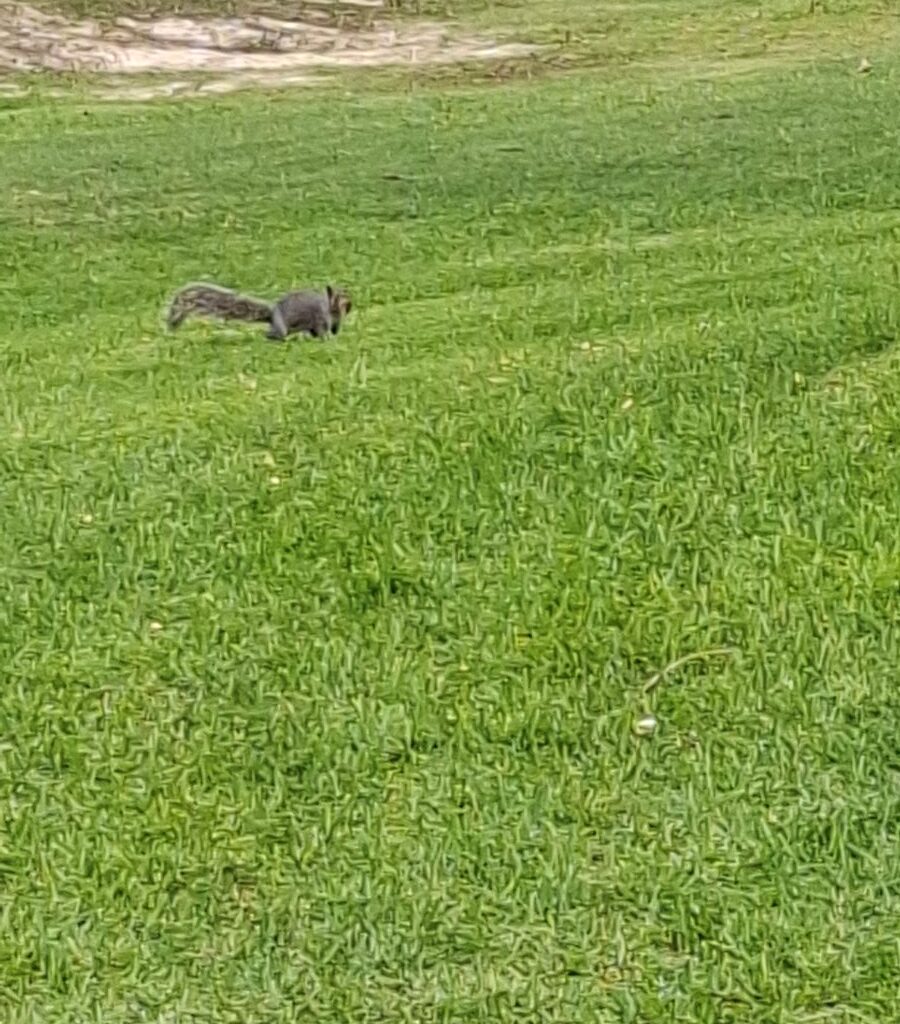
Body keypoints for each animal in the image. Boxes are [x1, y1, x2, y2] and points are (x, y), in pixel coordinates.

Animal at [166, 282, 352, 341]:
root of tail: (272, 315)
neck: (328, 306)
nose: (351, 306)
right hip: (282, 327)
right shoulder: (321, 318)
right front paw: (329, 339)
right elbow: (321, 331)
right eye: (345, 302)